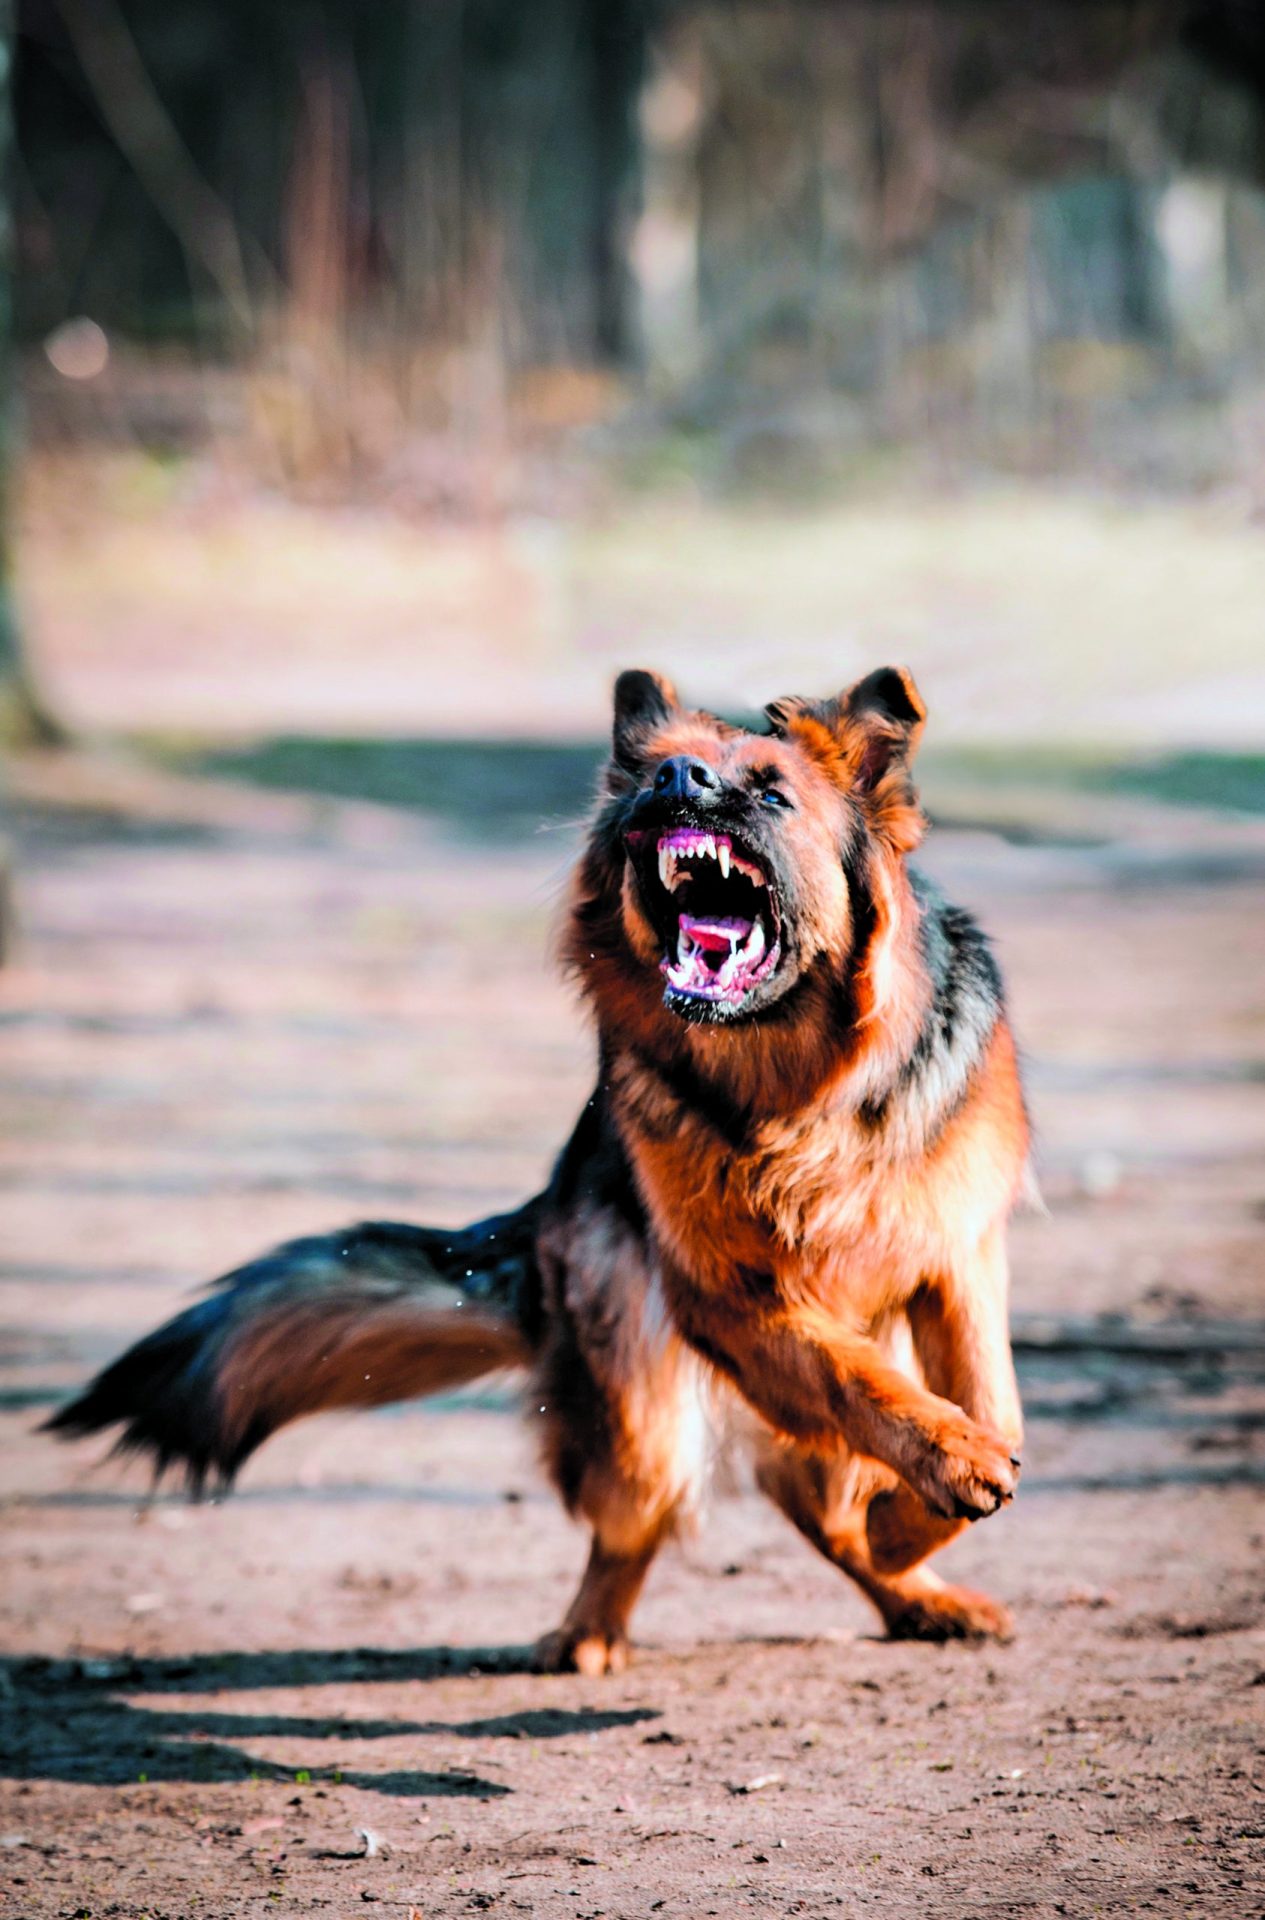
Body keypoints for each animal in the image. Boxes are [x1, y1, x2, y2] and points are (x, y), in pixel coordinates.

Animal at [54, 668, 1036, 1674]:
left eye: (770, 794)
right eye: (655, 774)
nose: (673, 780)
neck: (797, 1097)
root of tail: (555, 1196)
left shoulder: (957, 1251)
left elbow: (995, 1408)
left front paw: (920, 1509)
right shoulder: (726, 1297)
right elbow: (856, 1383)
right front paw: (937, 1479)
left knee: (818, 1507)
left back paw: (912, 1589)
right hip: (641, 1405)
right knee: (641, 1521)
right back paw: (589, 1633)